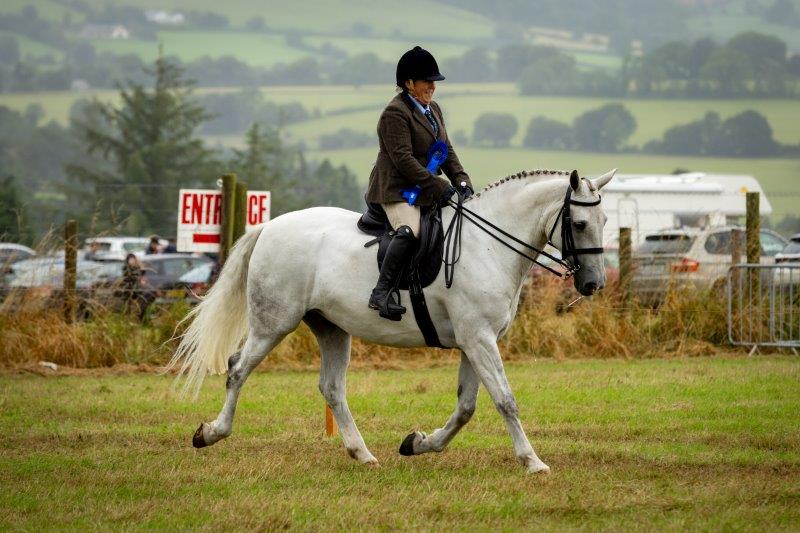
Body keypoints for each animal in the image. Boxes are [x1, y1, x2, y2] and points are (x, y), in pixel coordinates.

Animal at [168, 168, 615, 474]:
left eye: (605, 222)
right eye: (579, 223)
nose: (593, 284)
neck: (488, 246)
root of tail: (269, 226)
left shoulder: (475, 341)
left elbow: (467, 407)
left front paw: (419, 443)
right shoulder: (479, 340)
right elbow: (505, 400)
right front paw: (533, 462)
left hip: (331, 327)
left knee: (331, 387)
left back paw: (362, 454)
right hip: (273, 323)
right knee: (237, 369)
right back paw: (210, 433)